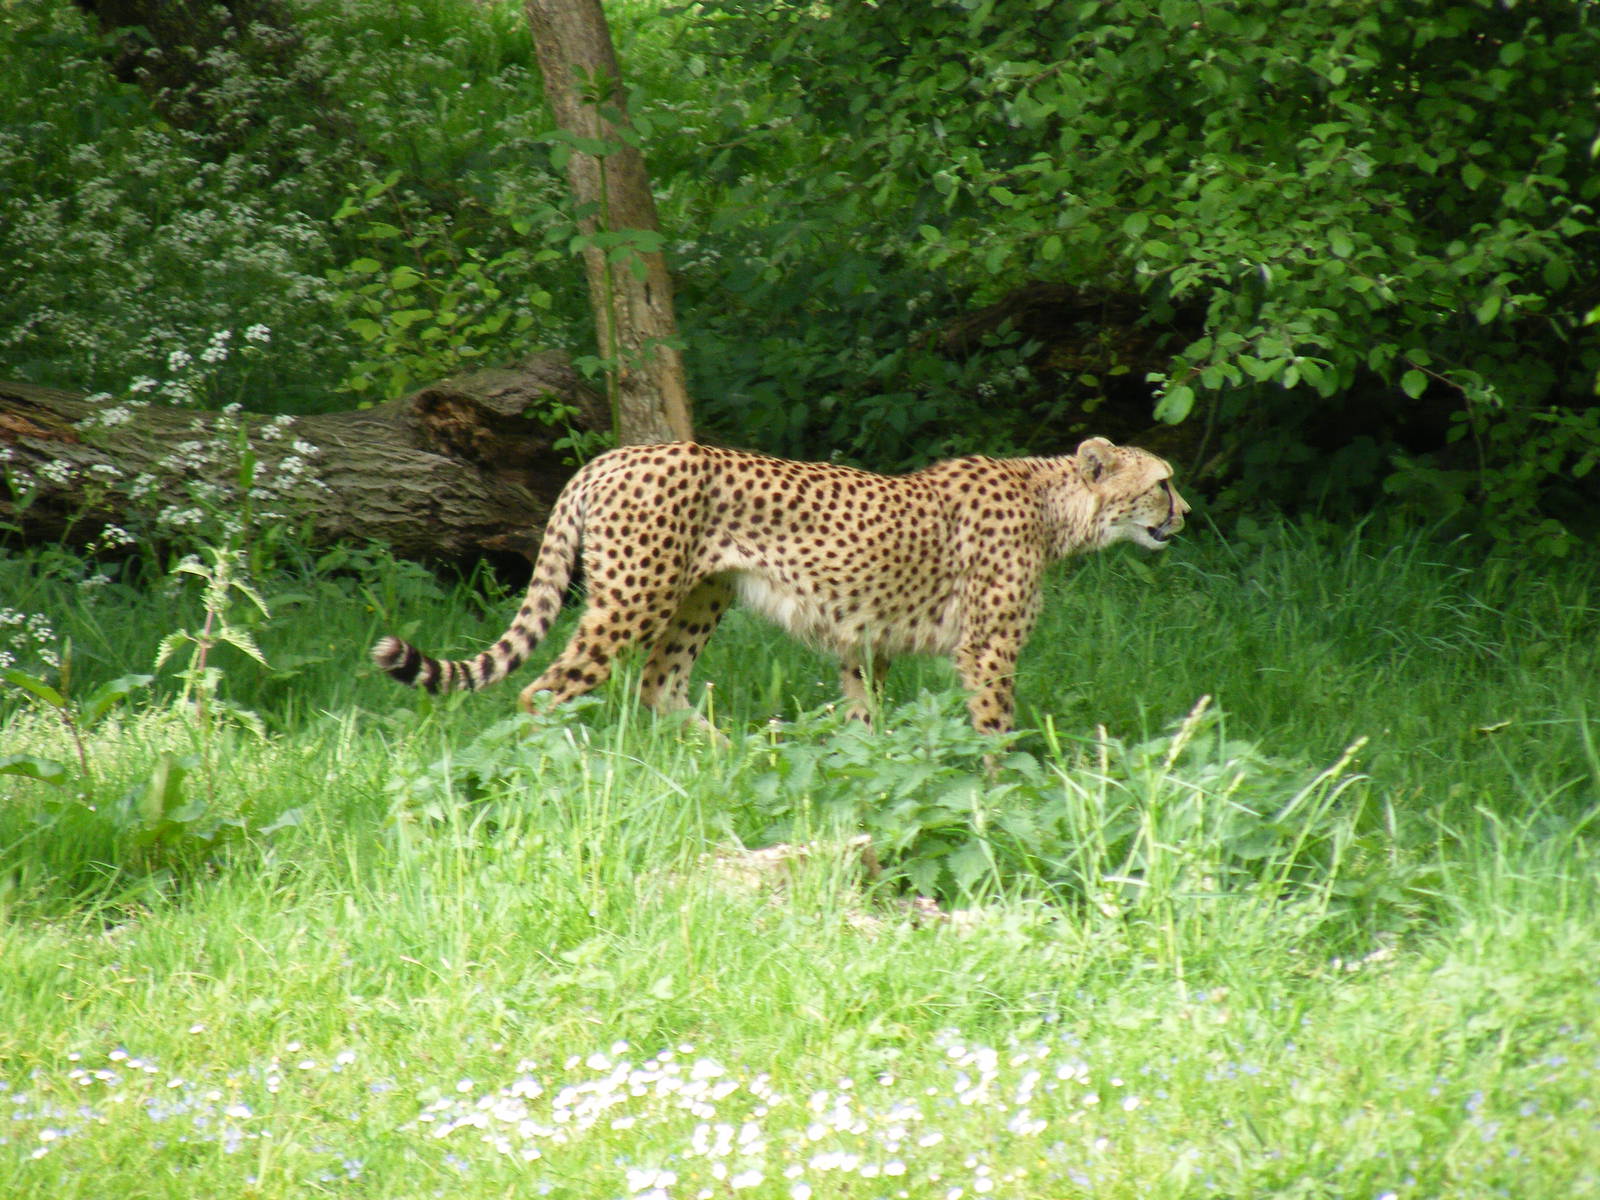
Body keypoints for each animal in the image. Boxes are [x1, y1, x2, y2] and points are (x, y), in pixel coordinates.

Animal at [371, 436, 1188, 735]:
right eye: (1163, 483)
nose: (1188, 513)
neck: (1056, 507)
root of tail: (612, 455)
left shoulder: (864, 641)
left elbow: (866, 721)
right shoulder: (987, 651)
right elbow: (995, 731)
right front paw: (1001, 791)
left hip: (704, 595)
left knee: (658, 687)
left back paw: (728, 757)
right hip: (632, 601)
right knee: (543, 692)